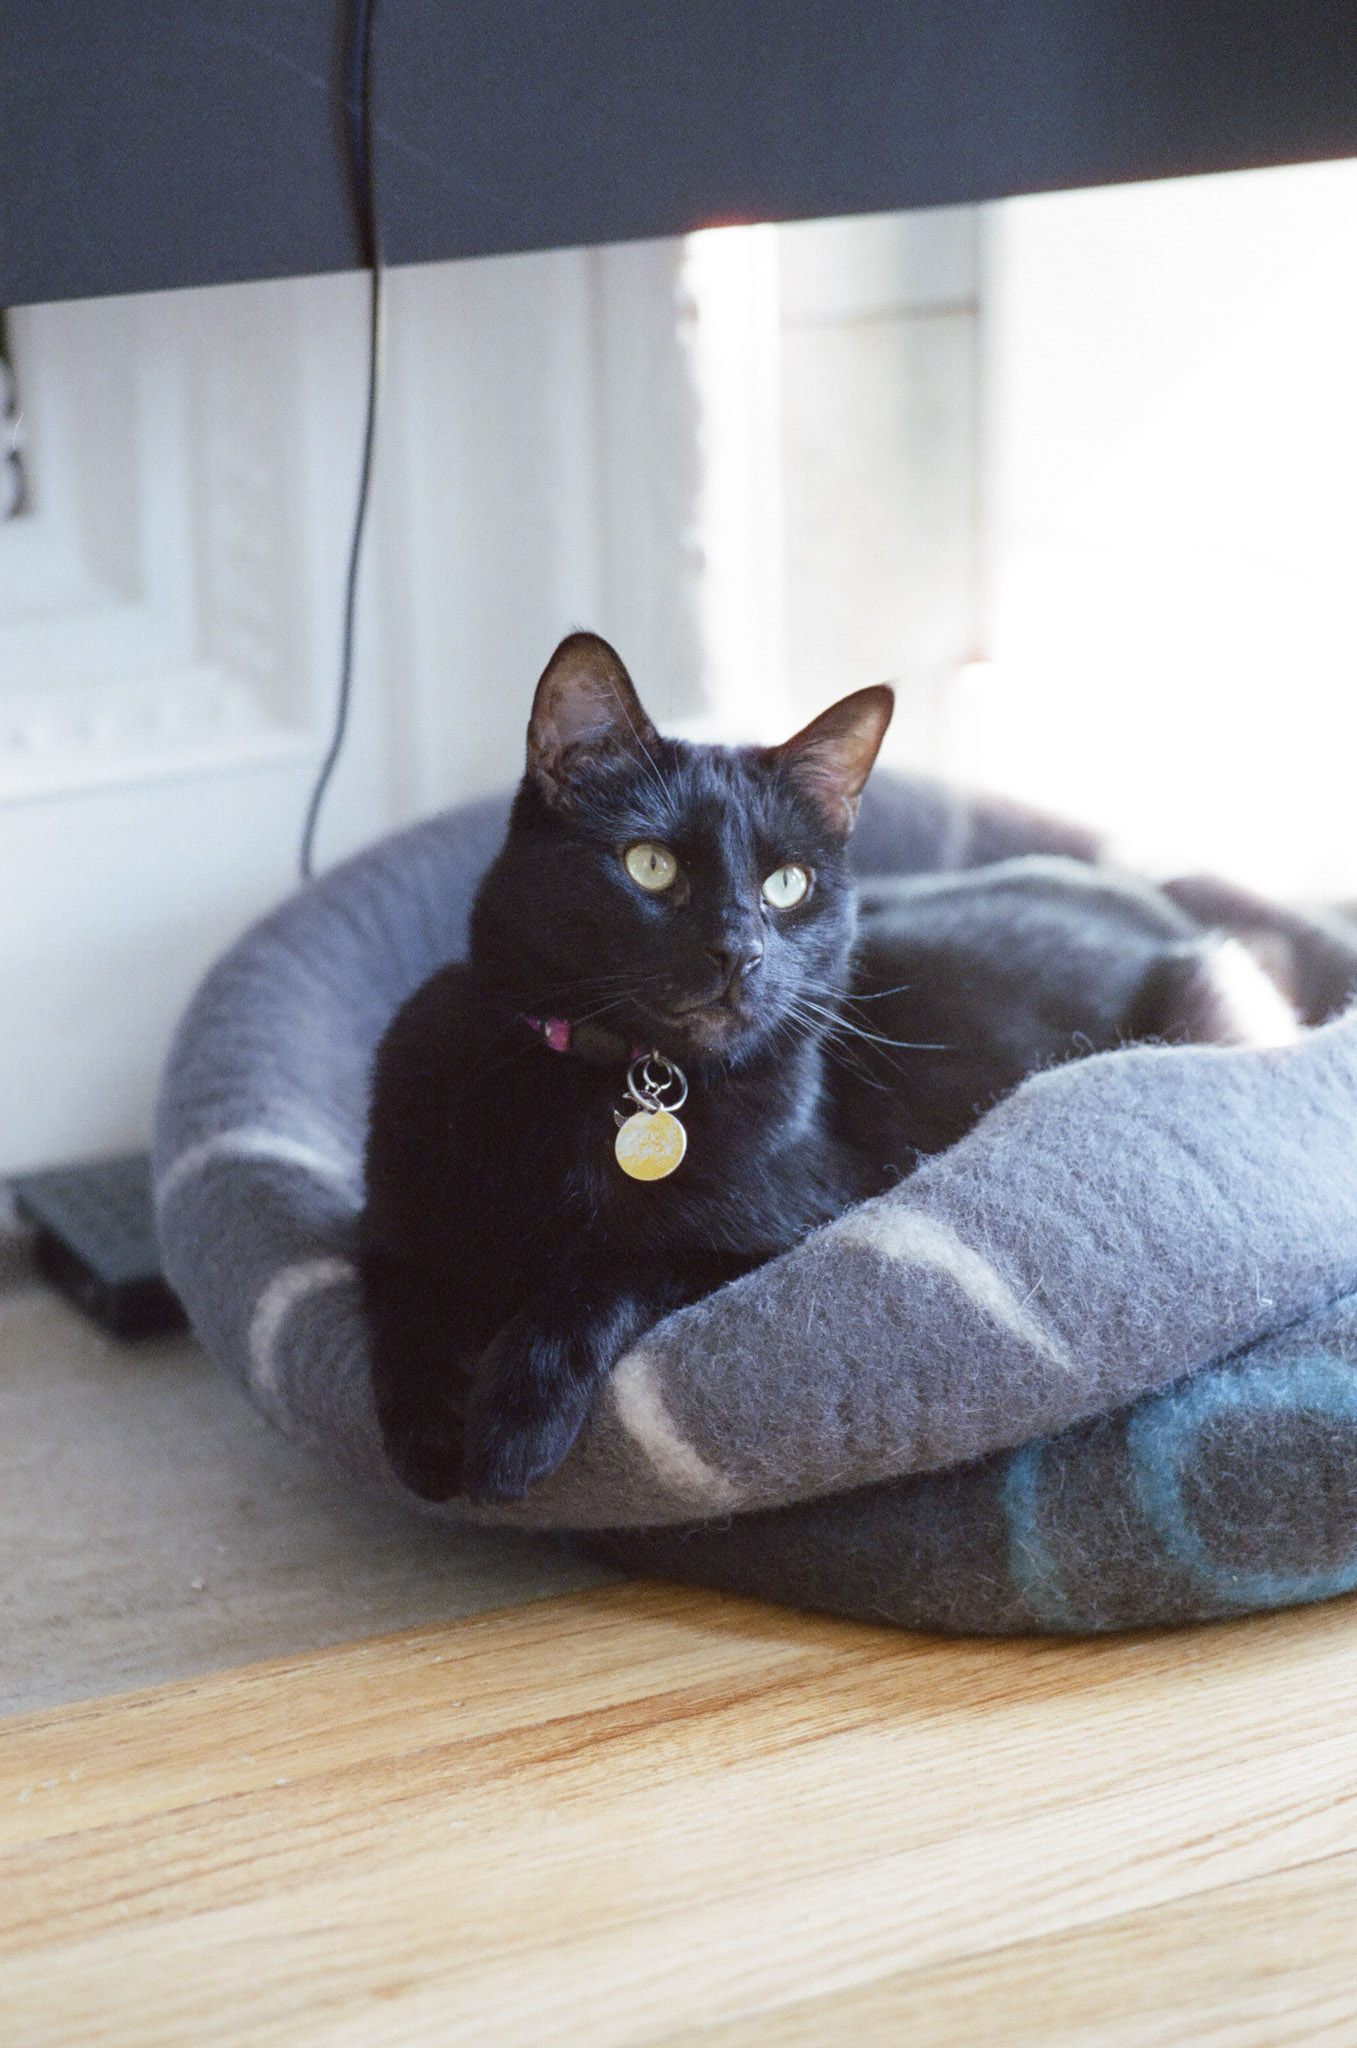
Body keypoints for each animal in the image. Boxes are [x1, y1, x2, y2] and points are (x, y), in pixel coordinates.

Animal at [364, 634, 1293, 1507]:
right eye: (649, 865)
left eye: (786, 884)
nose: (737, 951)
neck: (623, 1083)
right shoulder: (392, 1221)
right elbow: (397, 1303)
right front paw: (427, 1435)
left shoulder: (774, 1236)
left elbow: (612, 1268)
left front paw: (513, 1420)